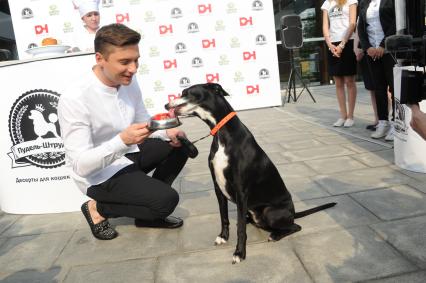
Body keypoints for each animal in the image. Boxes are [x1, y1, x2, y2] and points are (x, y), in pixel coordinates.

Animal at [166, 84, 336, 264]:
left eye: (186, 92)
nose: (165, 105)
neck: (222, 133)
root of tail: (293, 213)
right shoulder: (218, 188)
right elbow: (224, 217)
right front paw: (223, 237)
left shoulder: (241, 191)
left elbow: (240, 229)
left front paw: (239, 253)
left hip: (270, 212)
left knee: (295, 226)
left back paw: (275, 235)